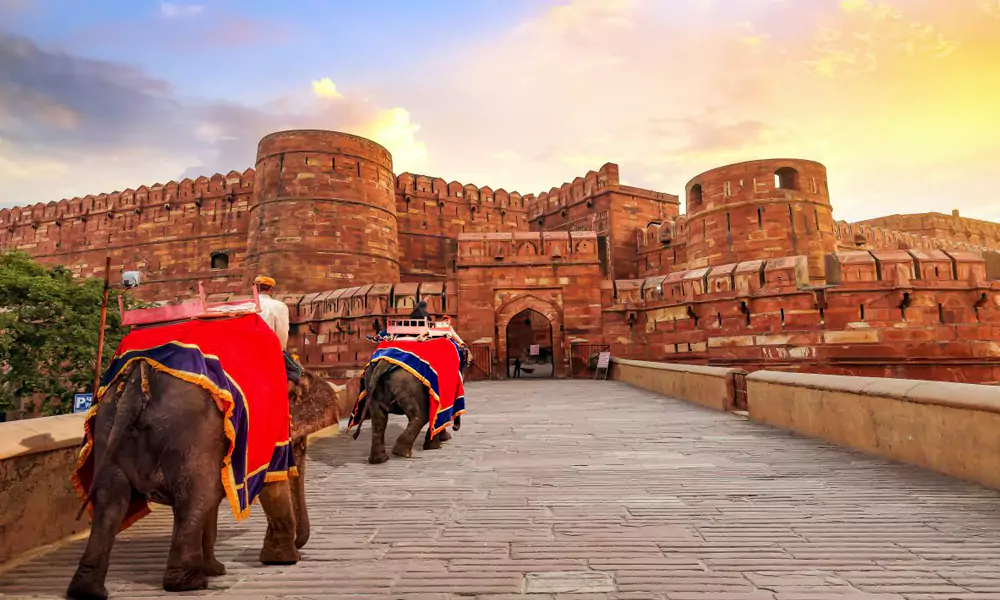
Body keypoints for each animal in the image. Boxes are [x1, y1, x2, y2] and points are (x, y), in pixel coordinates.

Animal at [66, 360, 342, 600]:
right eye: (301, 445)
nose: (300, 545)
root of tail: (138, 379)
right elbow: (267, 483)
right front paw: (282, 559)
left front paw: (217, 568)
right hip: (190, 431)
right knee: (194, 498)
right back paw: (189, 582)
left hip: (108, 426)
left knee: (110, 502)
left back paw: (88, 590)